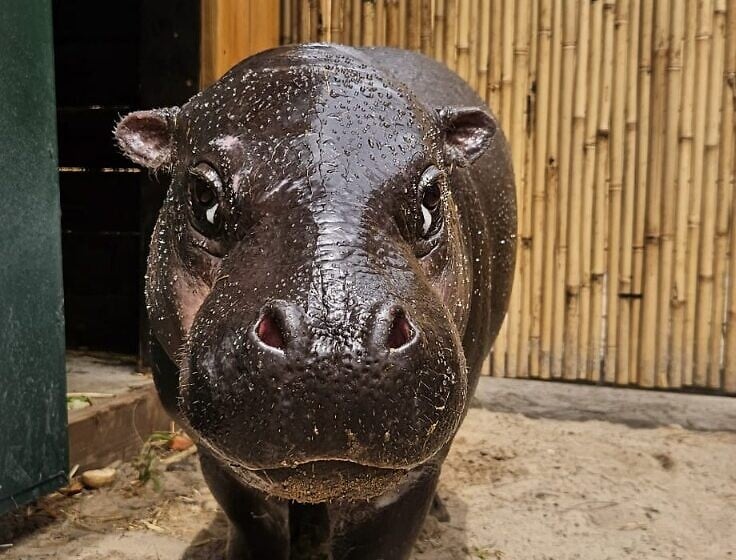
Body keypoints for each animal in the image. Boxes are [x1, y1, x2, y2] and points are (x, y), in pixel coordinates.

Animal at [115, 44, 515, 559]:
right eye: (202, 193)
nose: (336, 341)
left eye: (431, 194)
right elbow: (253, 523)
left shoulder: (408, 478)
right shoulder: (216, 457)